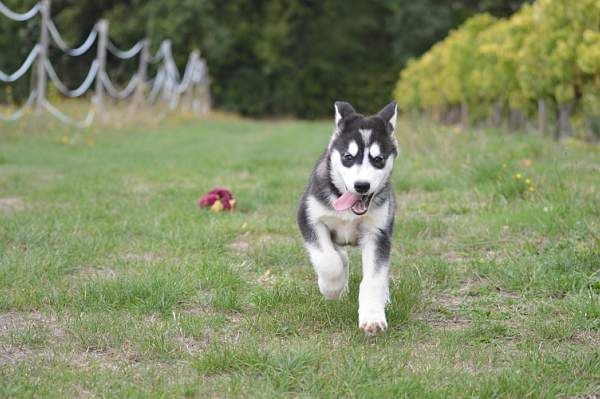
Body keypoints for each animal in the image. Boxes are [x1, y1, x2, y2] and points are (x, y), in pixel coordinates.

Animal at [296, 101, 398, 334]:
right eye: (348, 157)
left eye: (378, 159)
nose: (362, 186)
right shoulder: (309, 218)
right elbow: (328, 261)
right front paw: (332, 288)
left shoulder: (378, 233)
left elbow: (374, 278)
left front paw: (373, 317)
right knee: (338, 256)